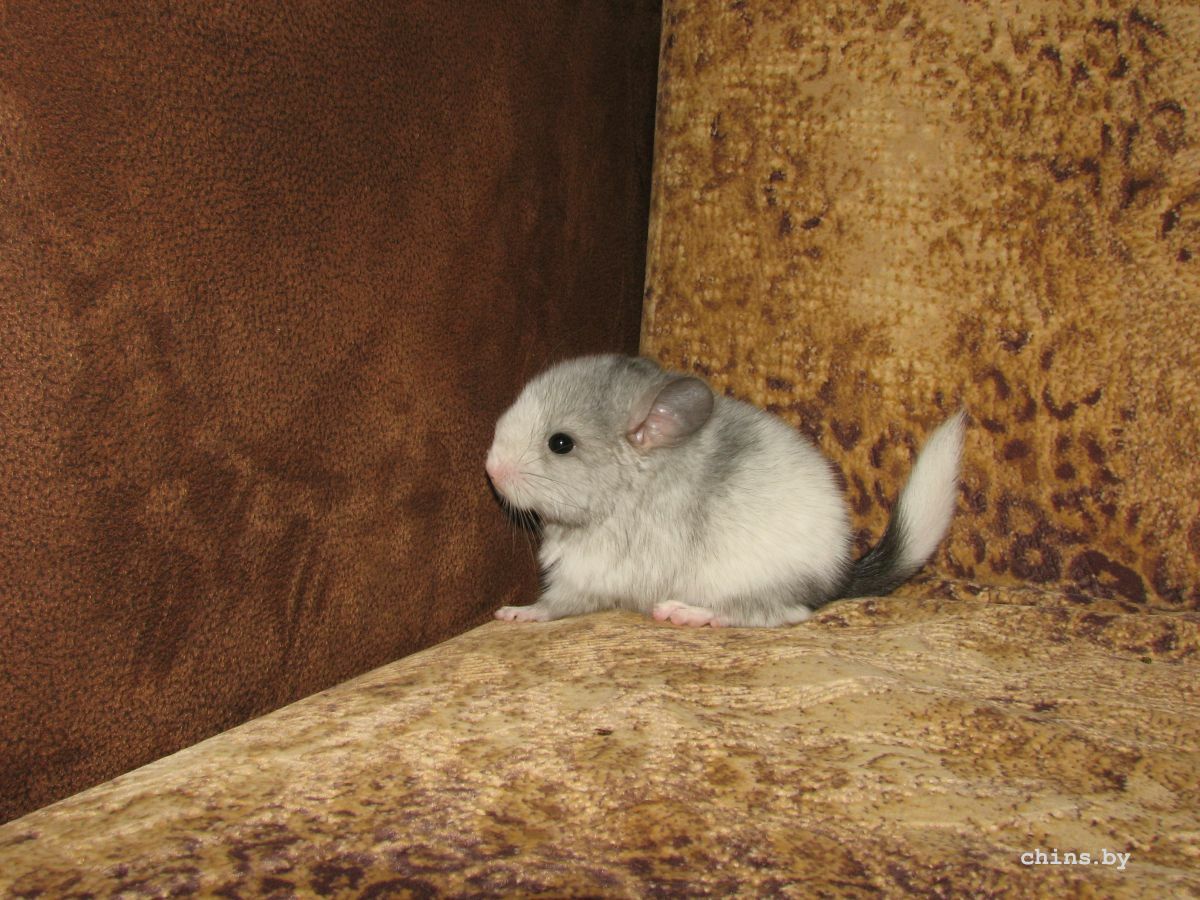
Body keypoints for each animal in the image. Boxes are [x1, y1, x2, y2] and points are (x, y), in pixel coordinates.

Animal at [484, 354, 965, 628]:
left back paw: (686, 613)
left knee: (783, 615)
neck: (633, 487)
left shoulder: (591, 571)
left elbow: (555, 604)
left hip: (750, 582)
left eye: (560, 443)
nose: (490, 469)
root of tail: (837, 575)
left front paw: (515, 613)